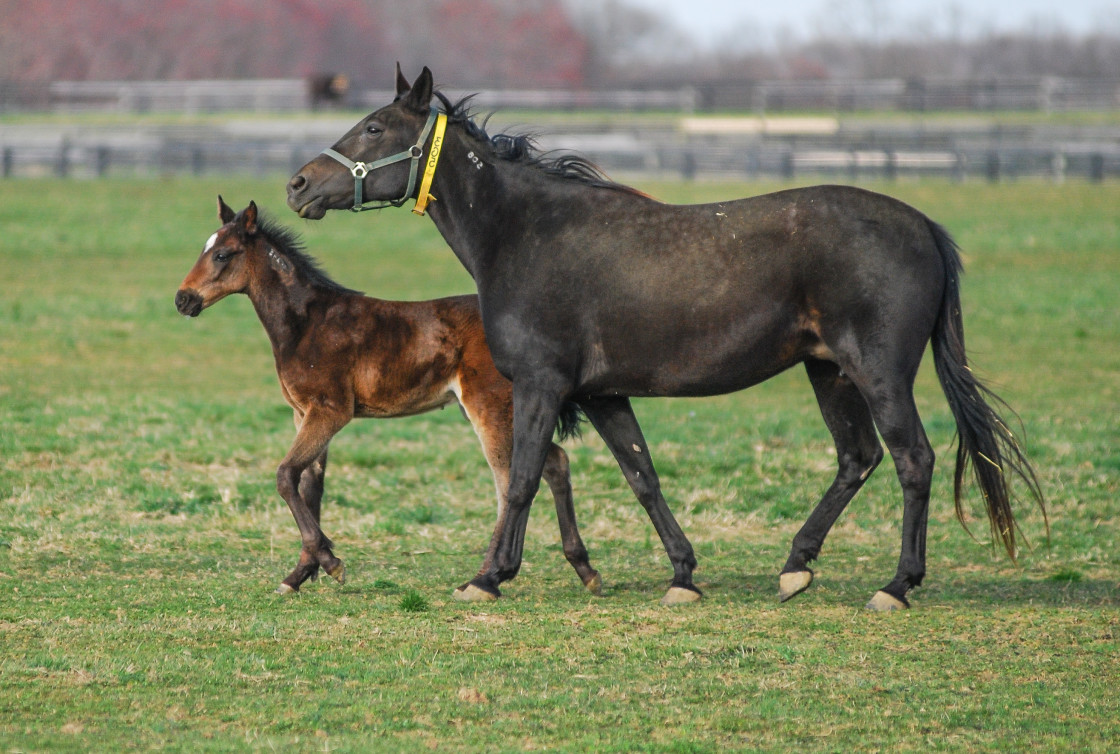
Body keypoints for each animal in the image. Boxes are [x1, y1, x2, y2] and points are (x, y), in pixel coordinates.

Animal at [172, 197, 604, 596]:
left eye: (222, 254)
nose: (183, 300)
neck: (307, 323)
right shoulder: (303, 414)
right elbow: (310, 487)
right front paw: (301, 573)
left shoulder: (330, 411)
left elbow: (285, 476)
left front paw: (330, 564)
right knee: (555, 463)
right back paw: (584, 569)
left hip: (490, 409)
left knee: (509, 482)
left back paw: (485, 578)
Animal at [284, 66, 1043, 609]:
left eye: (375, 127)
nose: (298, 184)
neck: (527, 233)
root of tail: (923, 227)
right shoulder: (603, 394)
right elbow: (641, 474)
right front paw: (683, 574)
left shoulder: (541, 384)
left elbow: (524, 477)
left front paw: (488, 576)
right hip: (828, 370)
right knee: (857, 459)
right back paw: (795, 567)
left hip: (878, 370)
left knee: (913, 459)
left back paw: (895, 585)